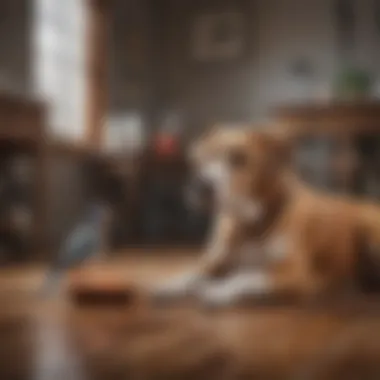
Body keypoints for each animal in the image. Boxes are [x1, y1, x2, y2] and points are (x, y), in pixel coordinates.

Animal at [150, 127, 380, 306]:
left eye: (239, 158)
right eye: (204, 158)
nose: (200, 185)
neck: (249, 224)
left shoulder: (295, 274)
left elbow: (246, 275)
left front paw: (219, 290)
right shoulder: (216, 260)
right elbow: (193, 273)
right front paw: (171, 284)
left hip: (369, 232)